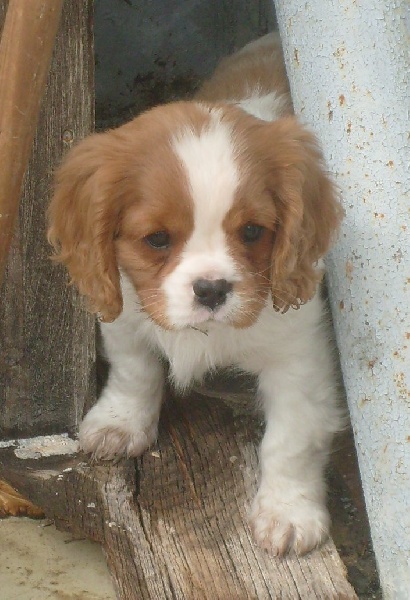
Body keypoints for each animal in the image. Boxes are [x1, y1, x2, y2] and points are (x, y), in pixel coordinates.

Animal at [48, 33, 343, 556]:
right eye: (157, 239)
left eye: (253, 232)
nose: (211, 289)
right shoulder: (126, 309)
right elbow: (135, 369)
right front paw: (121, 424)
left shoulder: (299, 357)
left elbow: (292, 438)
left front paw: (288, 513)